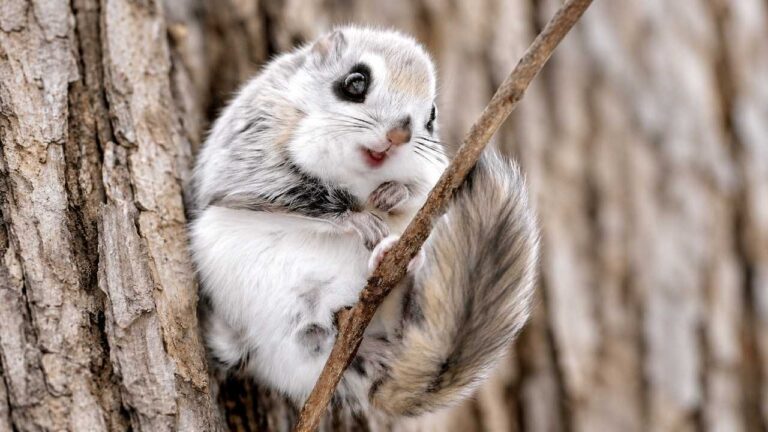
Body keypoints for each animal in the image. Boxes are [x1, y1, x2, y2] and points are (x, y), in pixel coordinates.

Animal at [189, 26, 540, 417]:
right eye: (355, 82)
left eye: (431, 117)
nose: (400, 134)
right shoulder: (252, 151)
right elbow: (290, 193)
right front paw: (358, 219)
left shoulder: (434, 173)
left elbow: (419, 191)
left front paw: (394, 193)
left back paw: (395, 258)